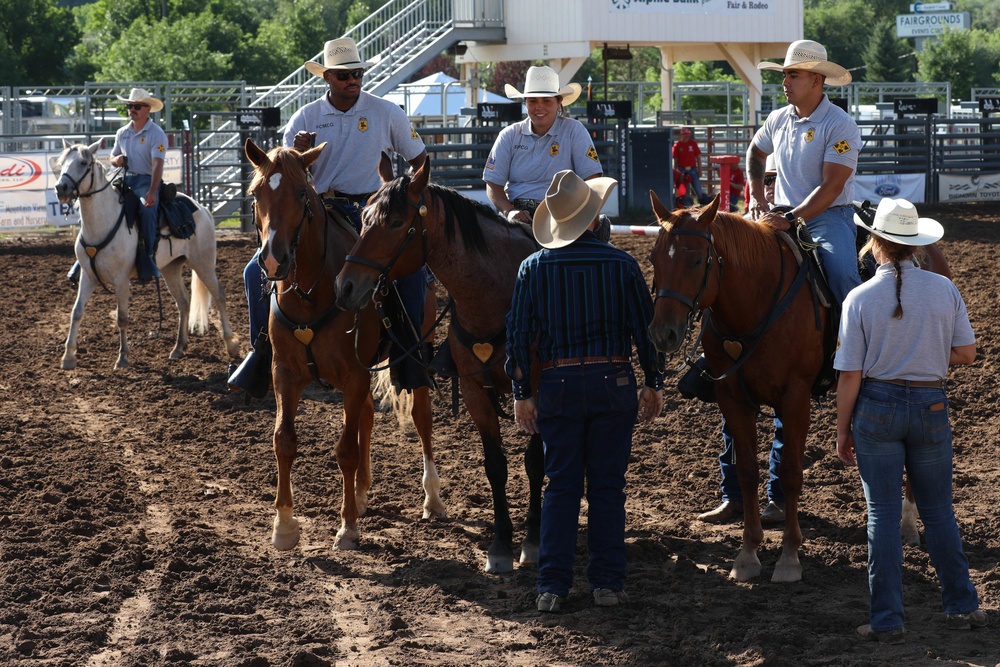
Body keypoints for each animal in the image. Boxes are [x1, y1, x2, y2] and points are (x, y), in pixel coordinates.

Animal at [54, 140, 242, 370]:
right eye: (61, 162)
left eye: (82, 163)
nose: (61, 188)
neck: (103, 221)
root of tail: (201, 208)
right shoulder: (88, 276)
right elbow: (77, 312)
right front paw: (68, 357)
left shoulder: (121, 280)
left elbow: (122, 317)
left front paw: (123, 357)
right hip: (171, 268)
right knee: (184, 302)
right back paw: (179, 347)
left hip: (203, 263)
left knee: (219, 295)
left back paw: (231, 344)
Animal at [242, 138, 442, 556]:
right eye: (255, 194)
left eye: (301, 193)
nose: (273, 258)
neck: (312, 291)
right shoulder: (285, 373)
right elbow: (284, 441)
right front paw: (284, 526)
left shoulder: (353, 374)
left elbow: (346, 450)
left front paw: (347, 527)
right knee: (365, 414)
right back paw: (363, 493)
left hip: (414, 354)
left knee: (421, 417)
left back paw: (432, 499)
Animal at [334, 157, 548, 576]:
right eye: (364, 217)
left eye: (396, 222)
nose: (346, 286)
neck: (497, 295)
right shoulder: (475, 392)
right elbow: (495, 465)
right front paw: (500, 546)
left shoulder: (537, 389)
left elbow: (534, 462)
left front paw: (532, 542)